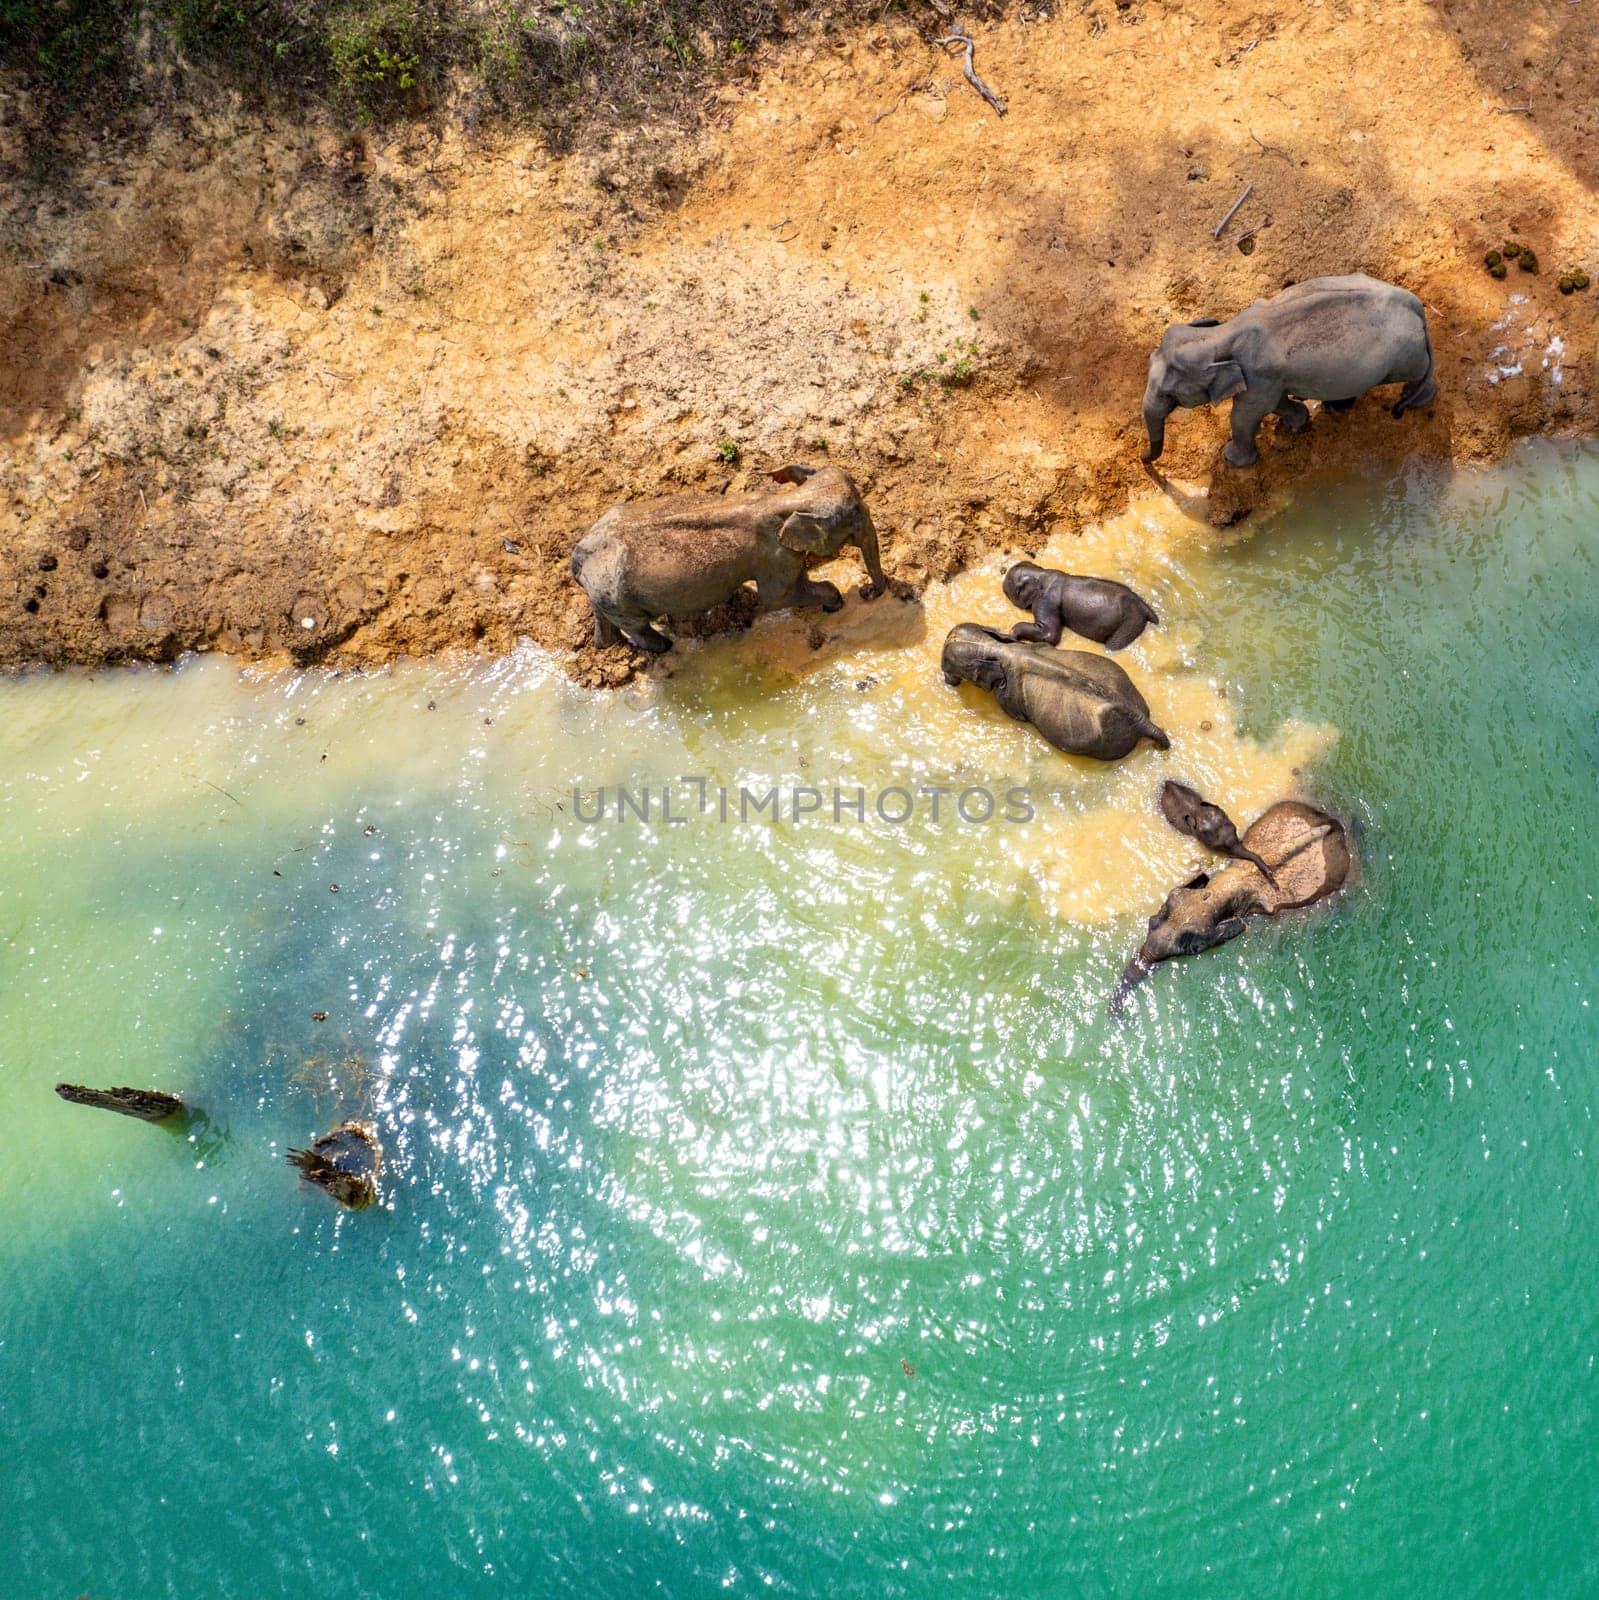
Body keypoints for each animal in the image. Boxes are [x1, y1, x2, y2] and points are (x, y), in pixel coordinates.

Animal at [569, 464, 889, 656]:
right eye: (855, 522)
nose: (866, 591)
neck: (790, 498)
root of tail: (579, 554)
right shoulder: (775, 555)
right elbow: (778, 597)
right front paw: (834, 604)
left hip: (603, 593)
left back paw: (610, 646)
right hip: (617, 596)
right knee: (638, 624)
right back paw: (665, 647)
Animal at [998, 563, 1165, 649]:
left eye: (1007, 592)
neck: (1041, 573)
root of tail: (1144, 607)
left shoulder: (1046, 601)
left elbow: (1049, 634)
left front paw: (1011, 633)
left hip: (1129, 622)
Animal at [1139, 270, 1440, 467]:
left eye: (1168, 394)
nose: (1143, 459)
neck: (1223, 332)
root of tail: (1415, 303)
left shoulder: (1259, 377)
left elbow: (1245, 415)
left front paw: (1232, 459)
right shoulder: (1269, 379)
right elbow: (1275, 402)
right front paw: (1296, 422)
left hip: (1406, 354)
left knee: (1416, 374)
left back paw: (1413, 402)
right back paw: (1336, 407)